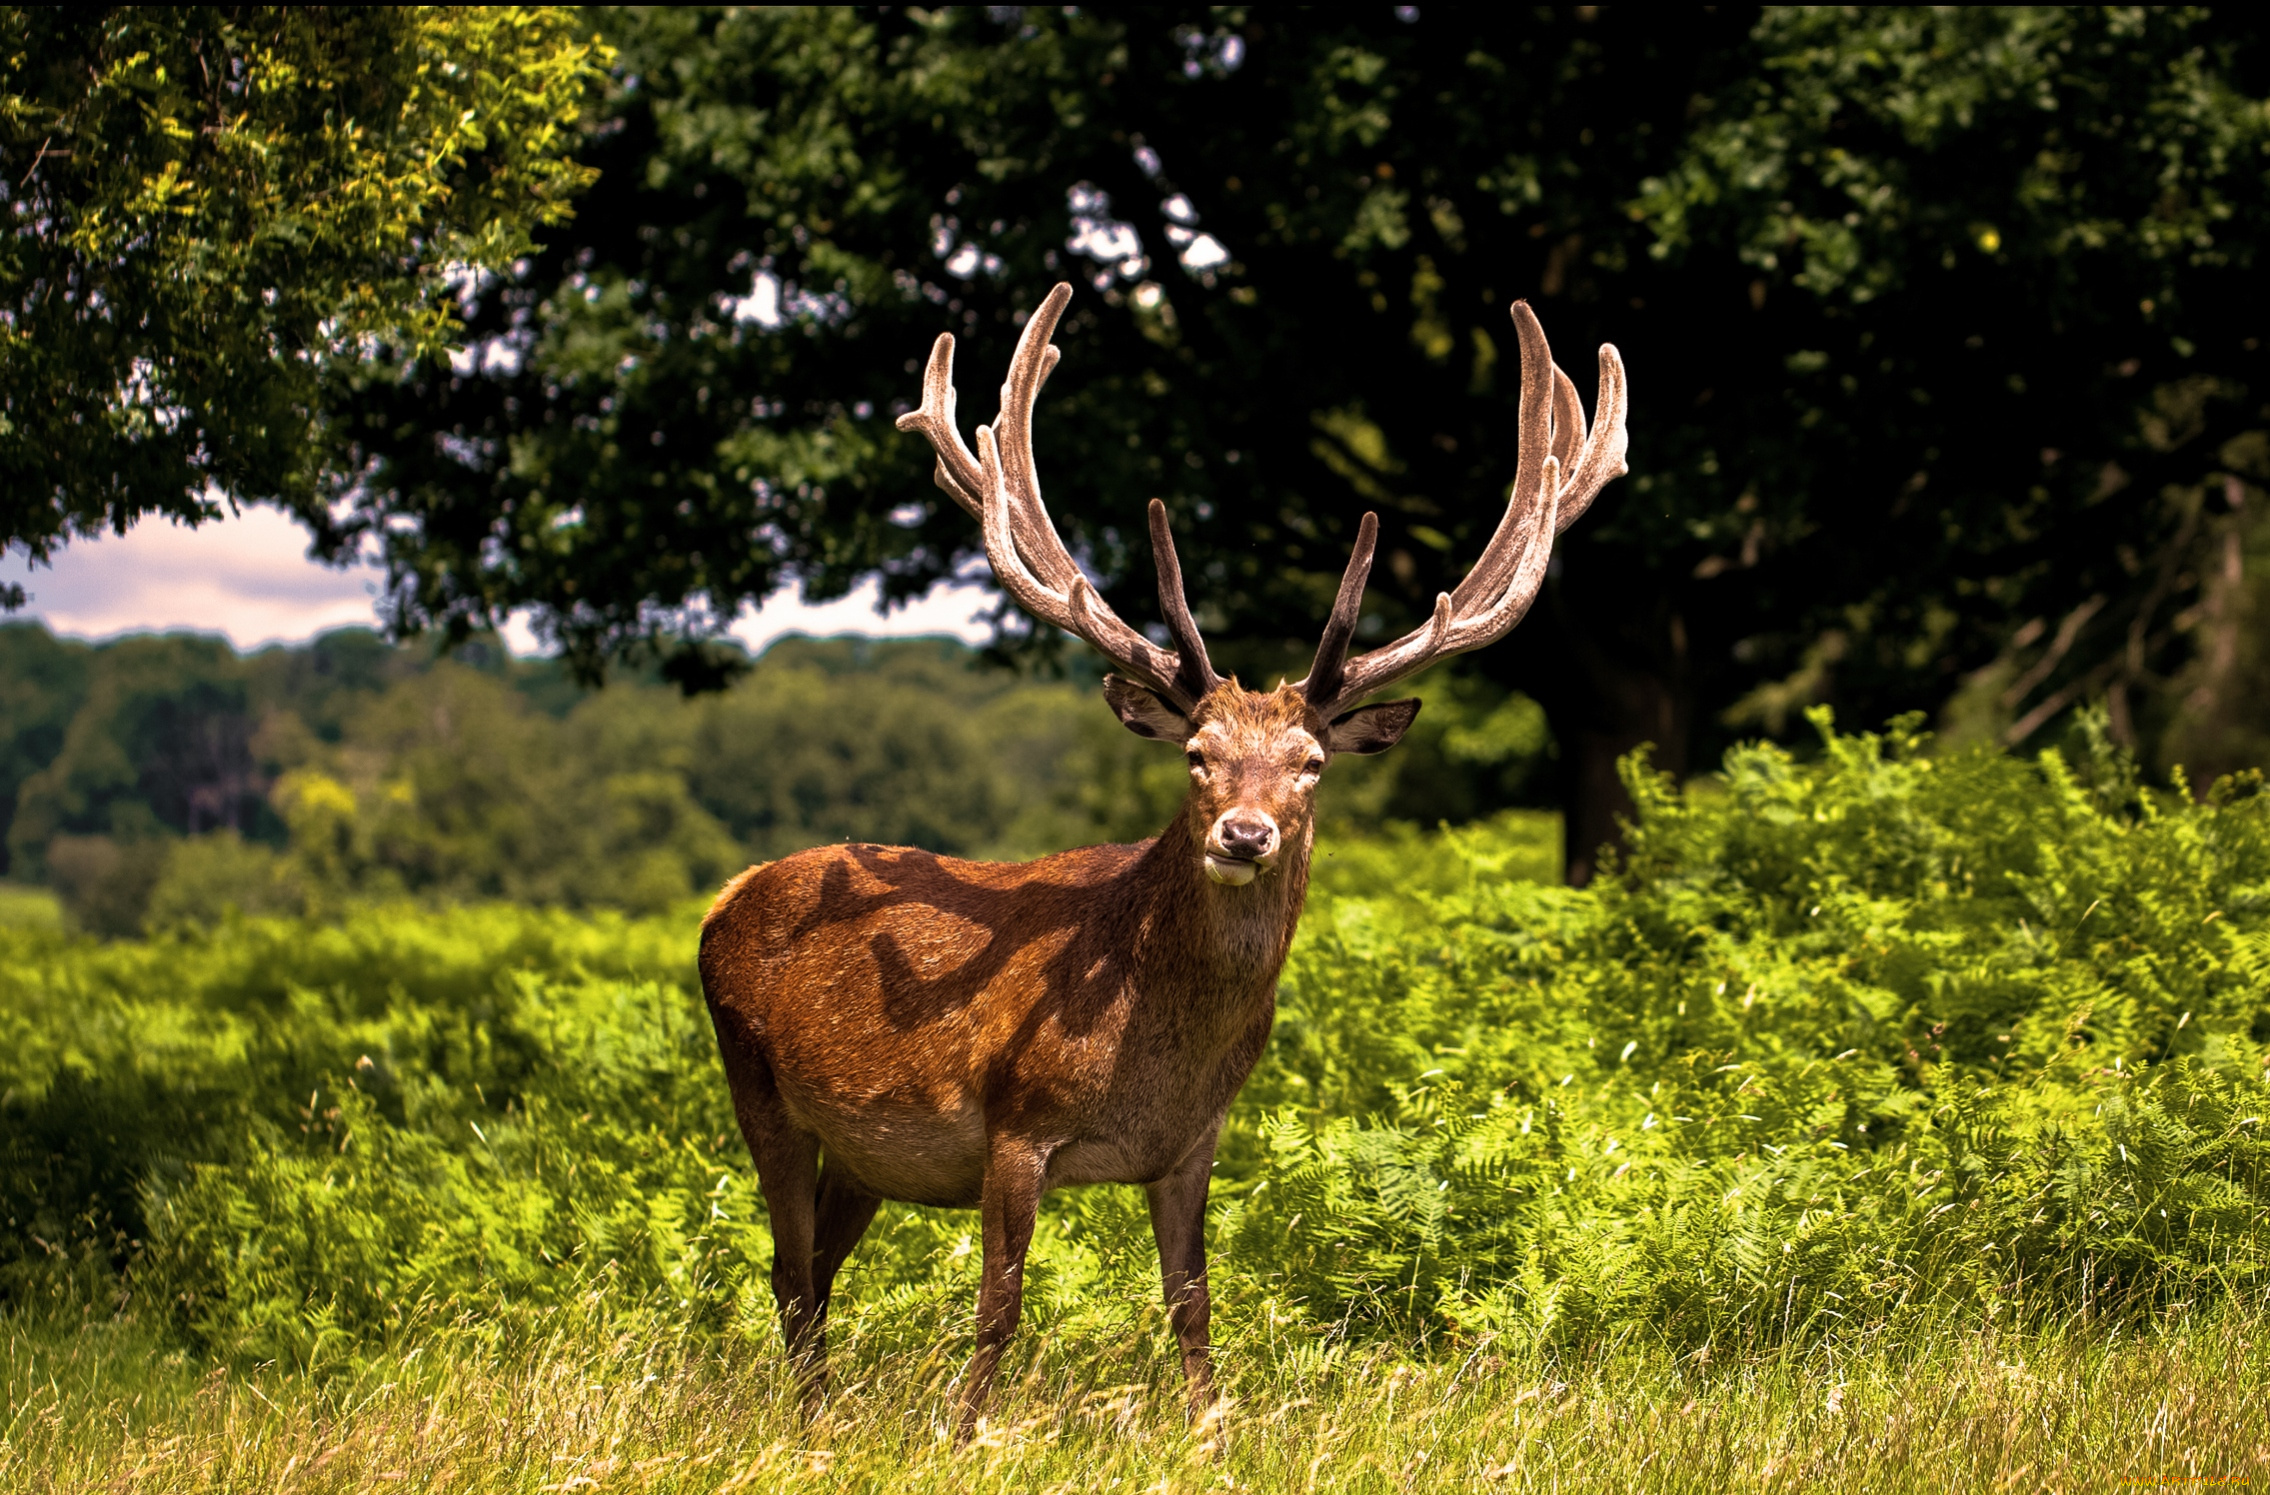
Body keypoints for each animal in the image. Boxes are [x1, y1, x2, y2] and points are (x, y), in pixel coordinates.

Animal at [699, 281, 1625, 1442]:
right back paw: (811, 1421)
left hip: (864, 1151)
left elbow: (1193, 1304)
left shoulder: (1192, 1142)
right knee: (786, 1268)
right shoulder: (1015, 1121)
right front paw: (964, 1431)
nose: (1245, 833)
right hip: (755, 1080)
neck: (1151, 1053)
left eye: (1311, 761)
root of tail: (723, 898)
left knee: (815, 1268)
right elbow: (998, 1306)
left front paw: (1210, 1428)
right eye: (1197, 753)